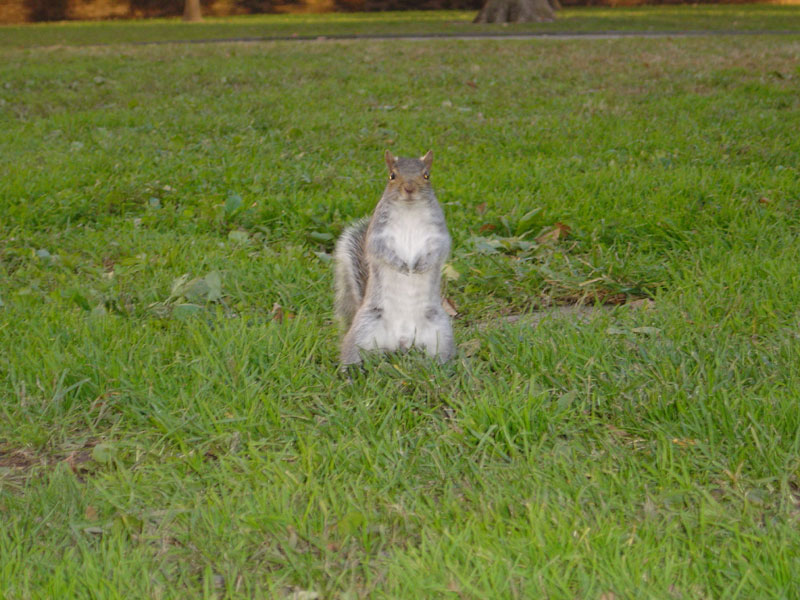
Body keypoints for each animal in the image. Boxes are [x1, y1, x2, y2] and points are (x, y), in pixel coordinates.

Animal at [334, 150, 455, 366]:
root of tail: (402, 340)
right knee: (351, 352)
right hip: (364, 328)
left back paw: (441, 366)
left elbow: (440, 249)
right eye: (392, 176)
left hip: (440, 331)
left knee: (440, 353)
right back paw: (350, 370)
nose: (409, 189)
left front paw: (421, 265)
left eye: (427, 175)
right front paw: (401, 265)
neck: (409, 210)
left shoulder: (438, 234)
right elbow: (380, 250)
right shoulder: (378, 234)